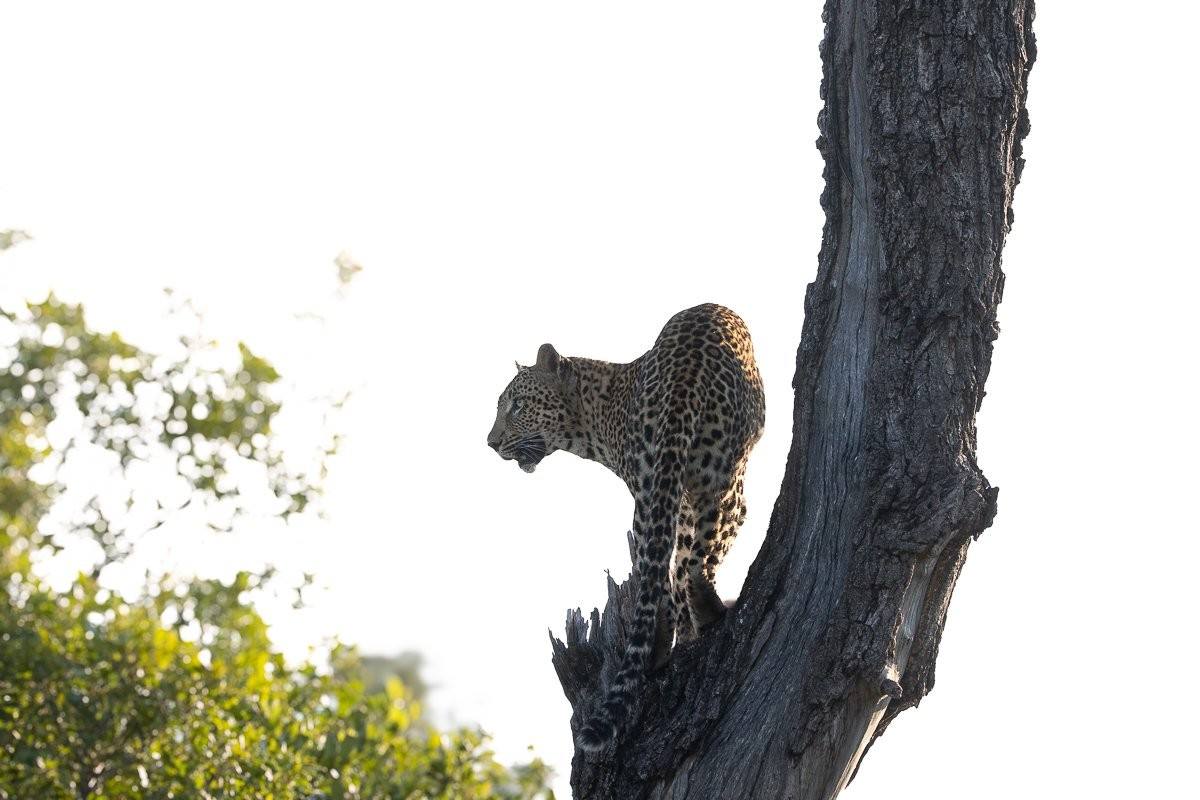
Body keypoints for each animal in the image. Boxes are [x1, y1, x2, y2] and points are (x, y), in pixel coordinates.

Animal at [486, 303, 765, 751]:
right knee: (696, 560)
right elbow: (686, 555)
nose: (491, 442)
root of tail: (683, 376)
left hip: (659, 488)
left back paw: (663, 645)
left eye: (517, 405)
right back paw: (708, 615)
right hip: (724, 478)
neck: (592, 423)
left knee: (662, 572)